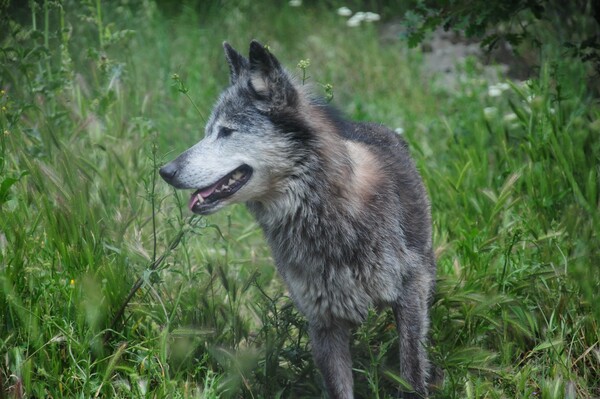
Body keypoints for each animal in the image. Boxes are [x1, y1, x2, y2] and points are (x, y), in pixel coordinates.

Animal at [159, 41, 438, 399]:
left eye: (226, 131)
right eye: (209, 132)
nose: (165, 171)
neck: (325, 214)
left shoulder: (410, 293)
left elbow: (412, 373)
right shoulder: (323, 321)